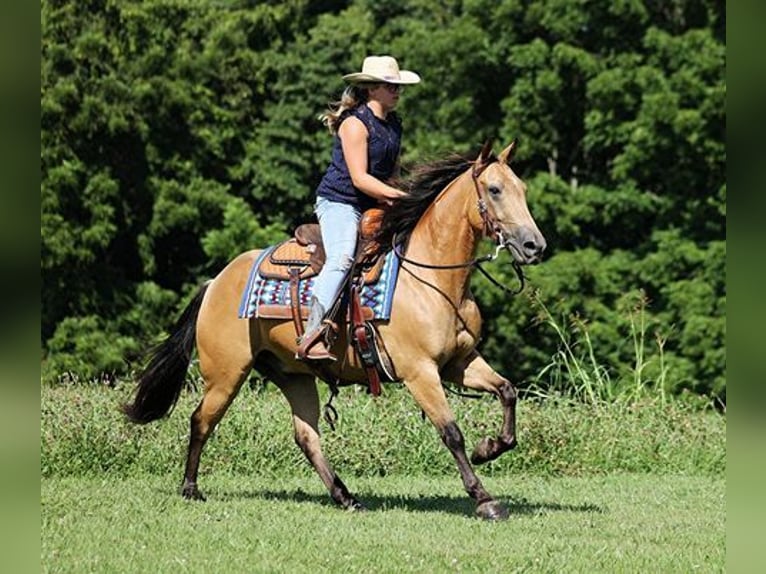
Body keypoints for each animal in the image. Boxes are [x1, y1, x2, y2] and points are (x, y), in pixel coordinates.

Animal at [123, 141, 544, 520]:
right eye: (495, 189)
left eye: (523, 189)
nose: (534, 246)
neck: (430, 278)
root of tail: (216, 281)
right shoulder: (419, 372)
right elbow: (451, 432)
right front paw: (484, 499)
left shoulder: (460, 363)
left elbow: (507, 391)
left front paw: (489, 447)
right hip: (226, 374)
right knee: (201, 420)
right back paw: (191, 488)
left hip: (293, 375)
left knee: (306, 436)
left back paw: (346, 497)